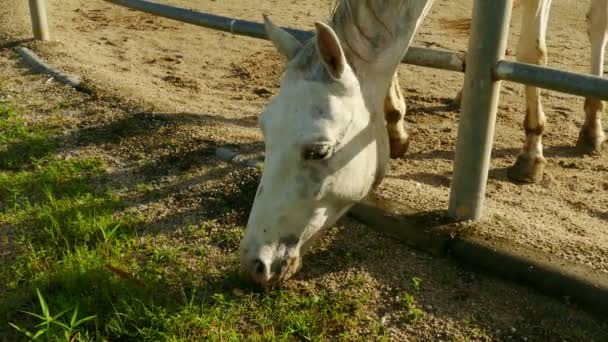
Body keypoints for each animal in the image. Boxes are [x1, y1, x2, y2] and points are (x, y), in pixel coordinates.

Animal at [239, 0, 608, 286]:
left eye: (319, 151)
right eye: (266, 132)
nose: (254, 263)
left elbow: (533, 54)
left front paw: (531, 156)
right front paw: (396, 129)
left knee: (596, 23)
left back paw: (591, 129)